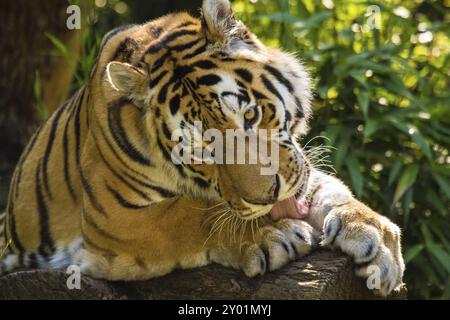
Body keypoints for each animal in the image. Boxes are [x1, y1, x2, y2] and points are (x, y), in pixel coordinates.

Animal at [0, 0, 404, 298]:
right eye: (203, 152)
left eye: (251, 113)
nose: (267, 198)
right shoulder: (112, 218)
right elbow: (189, 213)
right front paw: (274, 234)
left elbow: (329, 189)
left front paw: (375, 237)